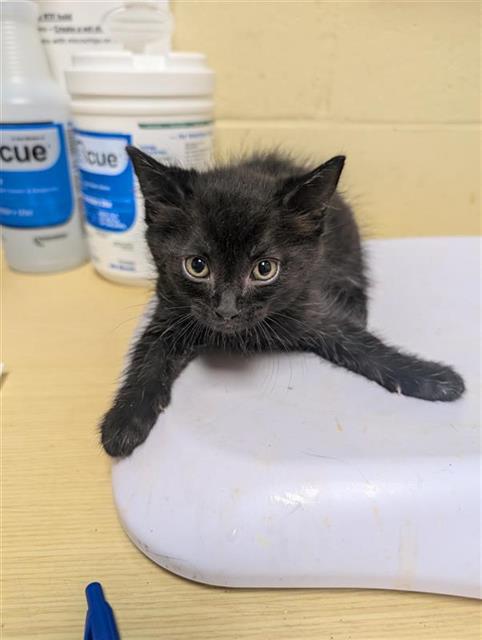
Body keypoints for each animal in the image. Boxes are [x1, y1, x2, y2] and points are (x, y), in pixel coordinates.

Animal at [100, 146, 466, 456]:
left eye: (265, 269)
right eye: (197, 266)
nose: (227, 310)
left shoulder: (311, 305)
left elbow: (362, 344)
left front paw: (433, 377)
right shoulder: (171, 312)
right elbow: (148, 357)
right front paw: (124, 420)